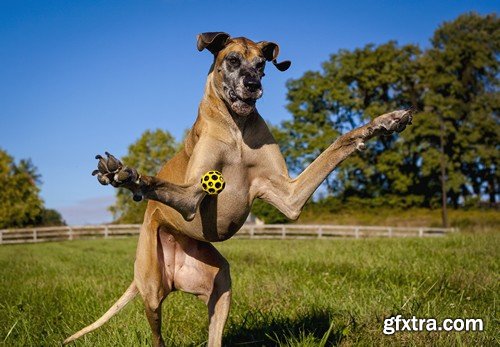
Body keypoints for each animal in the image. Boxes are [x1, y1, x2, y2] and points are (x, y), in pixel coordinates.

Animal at [64, 31, 412, 346]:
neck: (237, 129)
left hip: (220, 282)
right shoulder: (191, 197)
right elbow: (159, 183)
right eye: (232, 60)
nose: (253, 85)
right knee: (156, 333)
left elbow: (339, 143)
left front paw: (384, 121)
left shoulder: (290, 198)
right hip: (151, 288)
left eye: (261, 65)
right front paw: (127, 176)